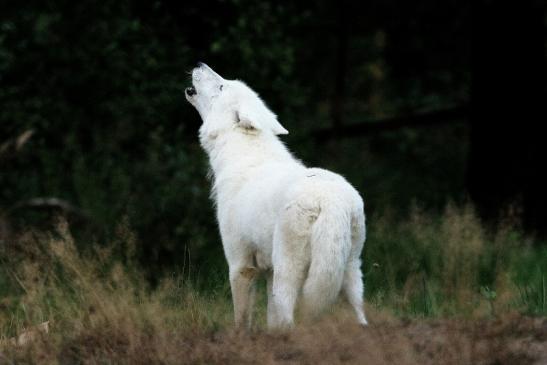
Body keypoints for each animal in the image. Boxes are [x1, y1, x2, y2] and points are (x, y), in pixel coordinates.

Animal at [185, 62, 368, 330]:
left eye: (221, 86)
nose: (199, 64)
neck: (240, 155)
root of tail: (331, 201)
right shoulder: (267, 271)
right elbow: (271, 322)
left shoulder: (240, 266)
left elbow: (242, 321)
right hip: (349, 275)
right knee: (360, 318)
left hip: (287, 273)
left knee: (289, 319)